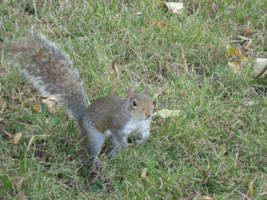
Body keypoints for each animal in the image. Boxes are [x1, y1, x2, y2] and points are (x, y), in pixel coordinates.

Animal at [6, 32, 155, 163]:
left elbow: (146, 133)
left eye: (153, 101)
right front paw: (125, 144)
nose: (148, 113)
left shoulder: (144, 126)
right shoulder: (117, 123)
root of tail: (81, 118)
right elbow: (119, 136)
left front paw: (141, 141)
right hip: (94, 136)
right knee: (94, 150)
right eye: (134, 103)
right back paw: (97, 162)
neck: (136, 119)